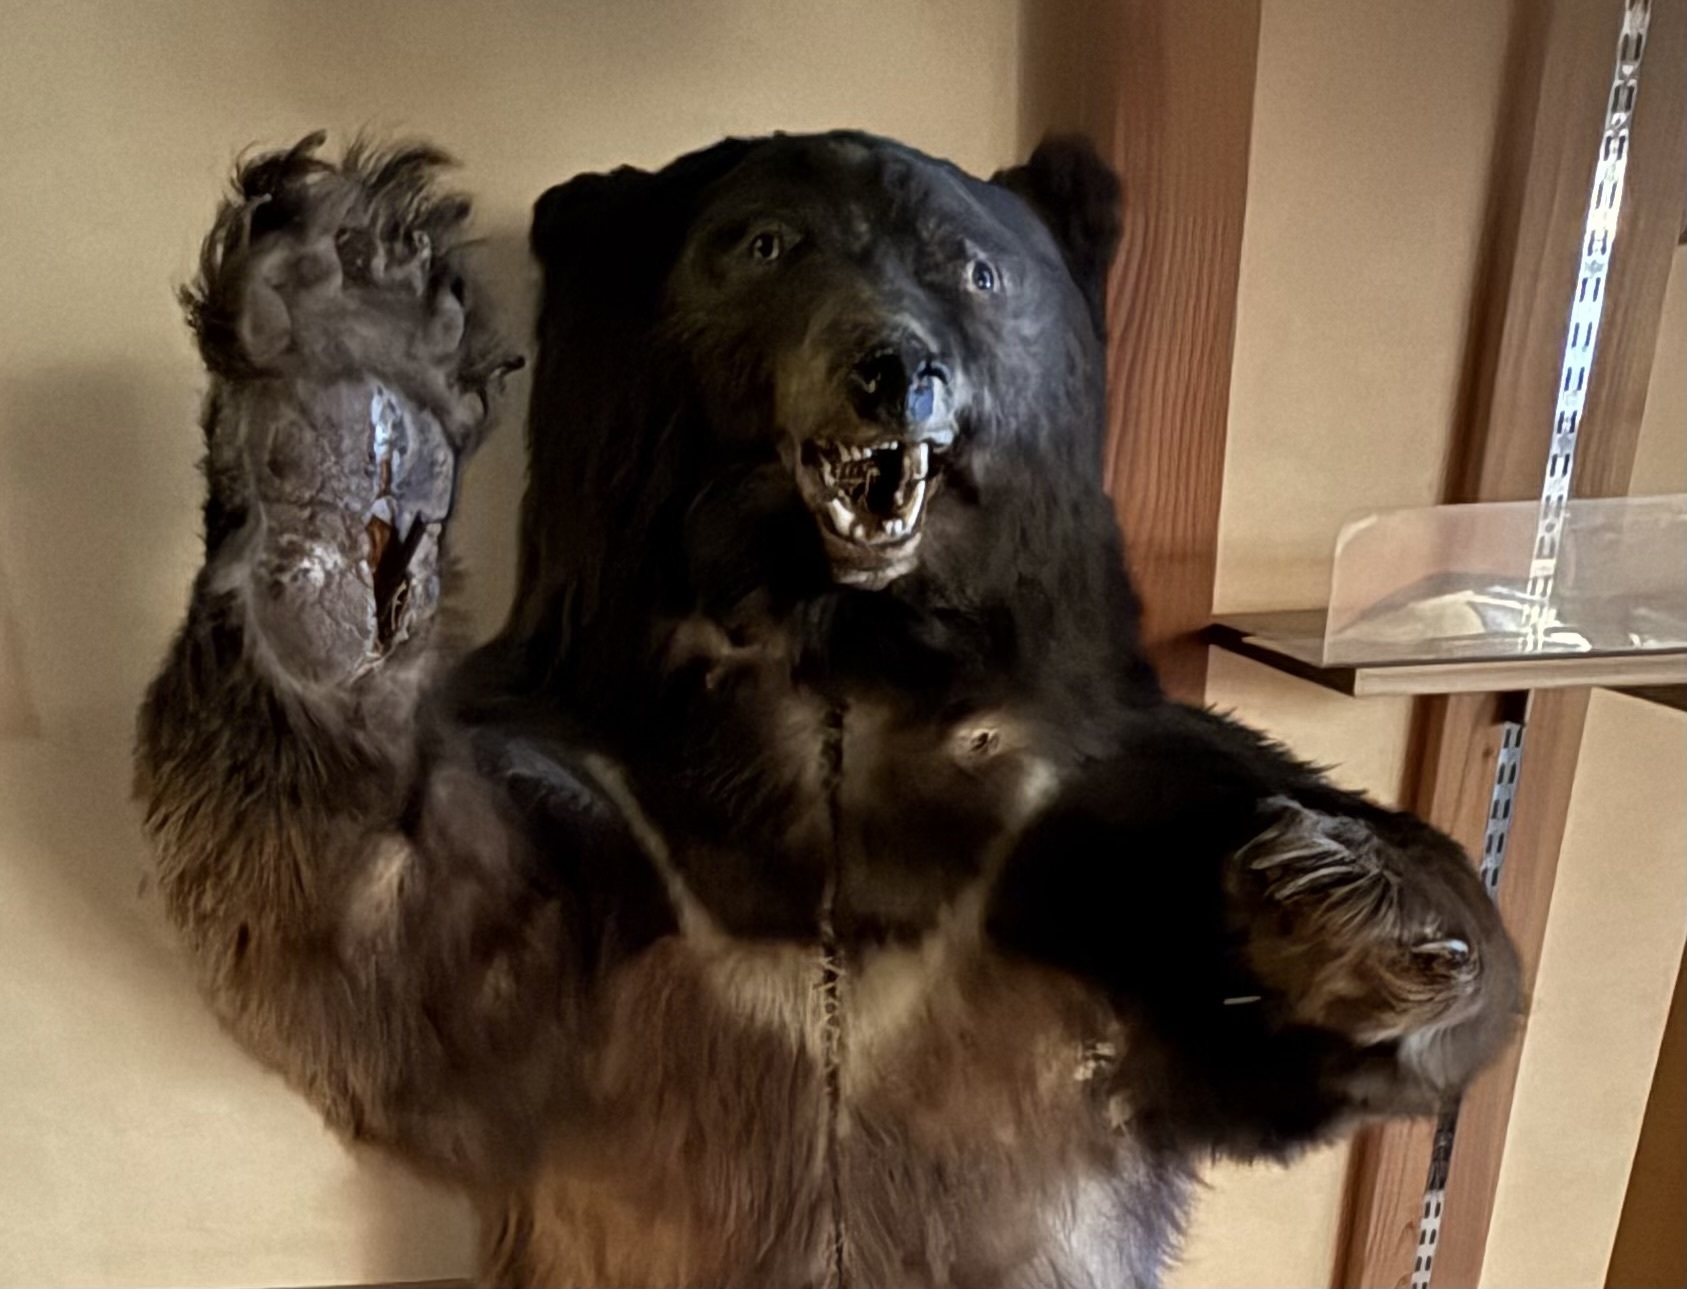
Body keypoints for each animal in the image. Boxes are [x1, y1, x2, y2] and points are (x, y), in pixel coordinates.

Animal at [136, 130, 1520, 1287]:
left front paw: (1357, 903)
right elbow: (373, 924)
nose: (893, 369)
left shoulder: (1069, 830)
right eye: (762, 244)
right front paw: (339, 377)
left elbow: (1295, 989)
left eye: (974, 266)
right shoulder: (614, 842)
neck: (843, 669)